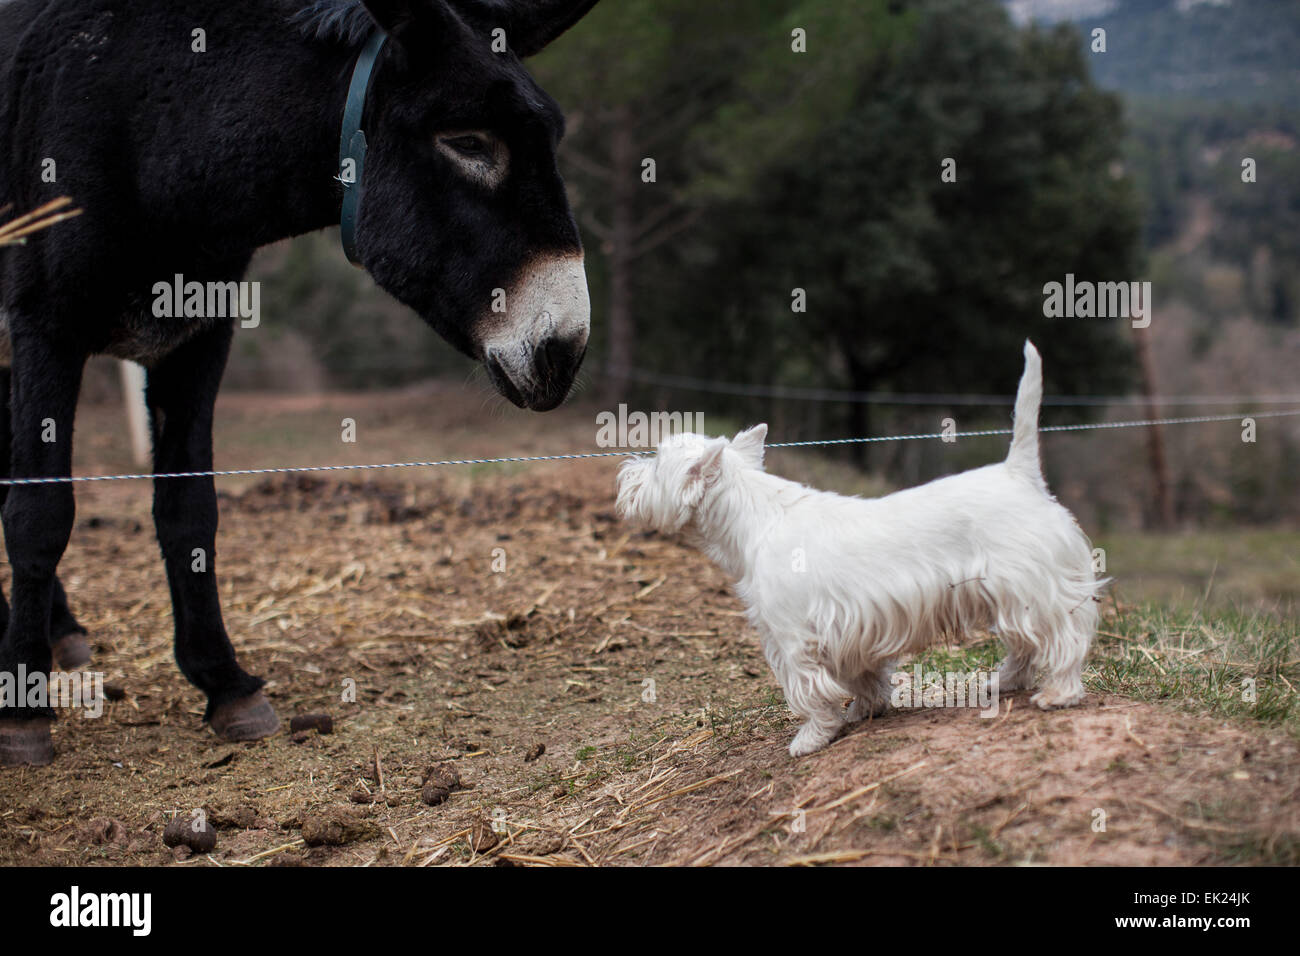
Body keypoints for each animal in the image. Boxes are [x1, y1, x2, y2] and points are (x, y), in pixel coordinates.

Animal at [613, 343, 1102, 754]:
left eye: (657, 464)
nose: (627, 473)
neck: (753, 516)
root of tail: (1019, 473)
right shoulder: (849, 631)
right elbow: (863, 678)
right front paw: (865, 710)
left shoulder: (791, 635)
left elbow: (809, 690)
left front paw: (812, 738)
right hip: (1009, 594)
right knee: (1024, 645)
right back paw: (1002, 684)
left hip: (1031, 585)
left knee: (1064, 636)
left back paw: (1058, 692)